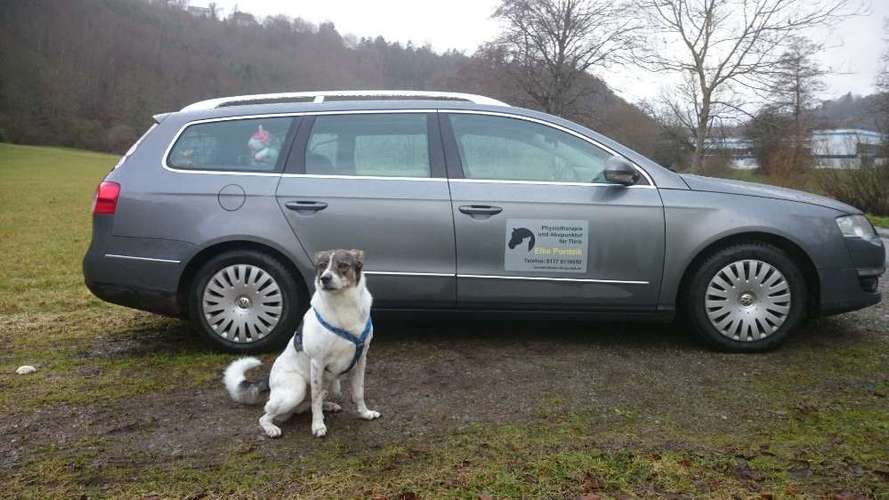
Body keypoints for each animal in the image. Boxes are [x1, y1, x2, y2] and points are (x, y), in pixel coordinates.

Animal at [222, 250, 378, 438]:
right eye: (322, 265)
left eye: (342, 265)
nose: (324, 278)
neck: (343, 305)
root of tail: (269, 381)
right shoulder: (318, 362)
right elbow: (316, 399)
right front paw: (317, 426)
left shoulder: (361, 360)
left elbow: (359, 392)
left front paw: (365, 413)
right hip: (296, 388)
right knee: (267, 414)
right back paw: (272, 428)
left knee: (310, 403)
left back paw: (329, 406)